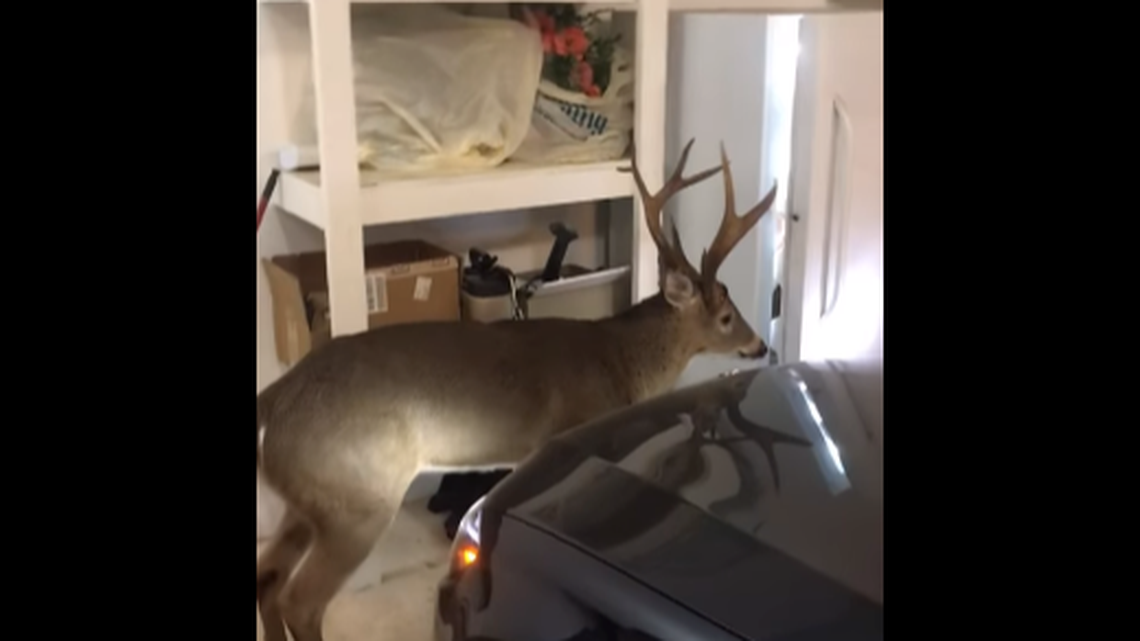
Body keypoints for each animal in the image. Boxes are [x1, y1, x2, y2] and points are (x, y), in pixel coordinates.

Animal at [255, 139, 778, 641]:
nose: (761, 344)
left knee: (268, 577)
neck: (621, 362)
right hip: (358, 494)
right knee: (301, 600)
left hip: (312, 498)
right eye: (726, 317)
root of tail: (276, 400)